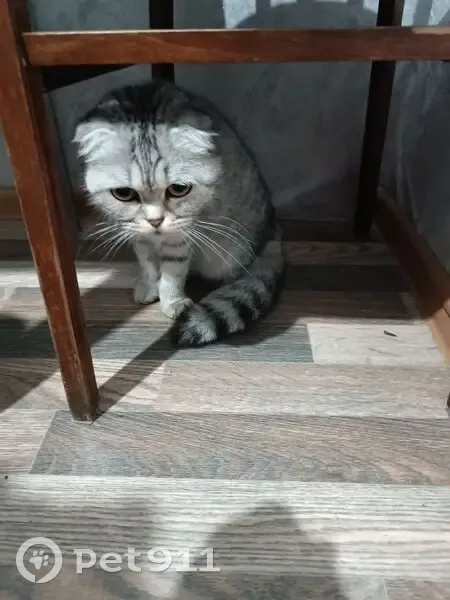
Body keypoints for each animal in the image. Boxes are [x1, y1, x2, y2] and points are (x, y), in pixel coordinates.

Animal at [74, 80, 285, 347]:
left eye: (178, 189)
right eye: (123, 193)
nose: (155, 221)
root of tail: (274, 231)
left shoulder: (181, 234)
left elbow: (172, 271)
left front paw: (172, 301)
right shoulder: (137, 234)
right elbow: (148, 262)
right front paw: (149, 286)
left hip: (230, 253)